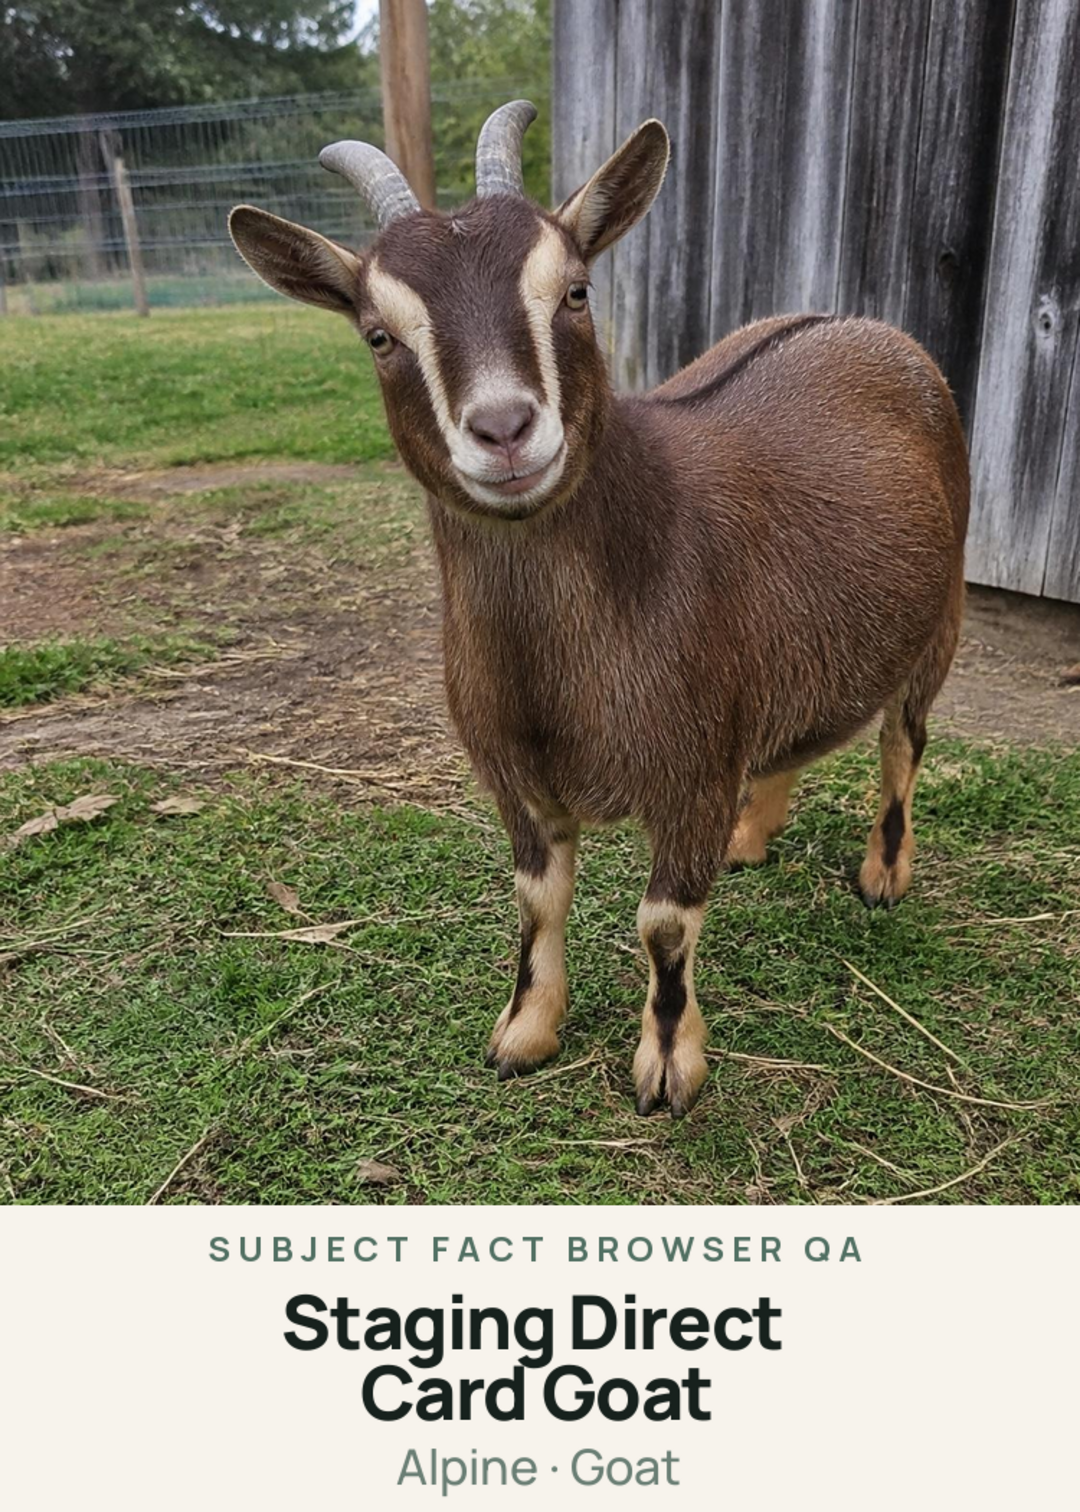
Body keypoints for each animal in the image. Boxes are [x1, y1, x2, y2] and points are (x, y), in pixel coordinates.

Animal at [229, 102, 968, 1117]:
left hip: (941, 618)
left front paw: (667, 1066)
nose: (504, 430)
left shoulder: (692, 767)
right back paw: (753, 835)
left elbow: (665, 924)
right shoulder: (517, 776)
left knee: (902, 741)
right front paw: (523, 1032)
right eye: (377, 336)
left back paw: (884, 873)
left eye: (575, 292)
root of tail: (864, 324)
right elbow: (537, 900)